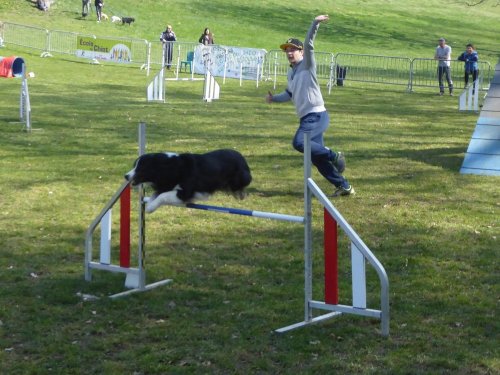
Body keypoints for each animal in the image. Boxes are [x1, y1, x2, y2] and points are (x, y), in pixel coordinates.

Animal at [123, 151, 252, 214]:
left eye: (140, 168)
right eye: (134, 166)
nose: (126, 176)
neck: (170, 167)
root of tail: (242, 157)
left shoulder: (184, 192)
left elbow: (163, 196)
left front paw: (150, 208)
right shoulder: (165, 185)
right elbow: (155, 195)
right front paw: (150, 205)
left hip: (239, 178)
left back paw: (240, 194)